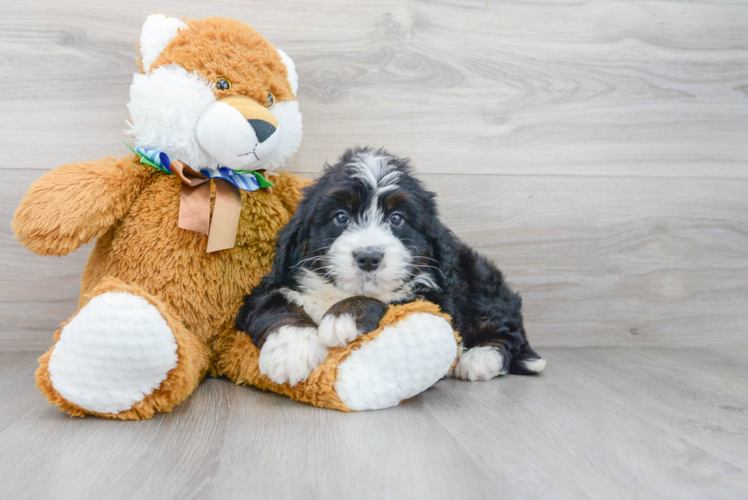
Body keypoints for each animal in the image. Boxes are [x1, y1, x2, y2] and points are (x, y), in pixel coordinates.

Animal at [237, 146, 548, 384]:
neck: (339, 292)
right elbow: (275, 305)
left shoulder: (435, 299)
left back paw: (480, 359)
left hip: (482, 284)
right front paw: (291, 351)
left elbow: (392, 301)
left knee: (508, 334)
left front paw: (343, 316)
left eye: (397, 218)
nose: (368, 257)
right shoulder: (269, 286)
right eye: (341, 217)